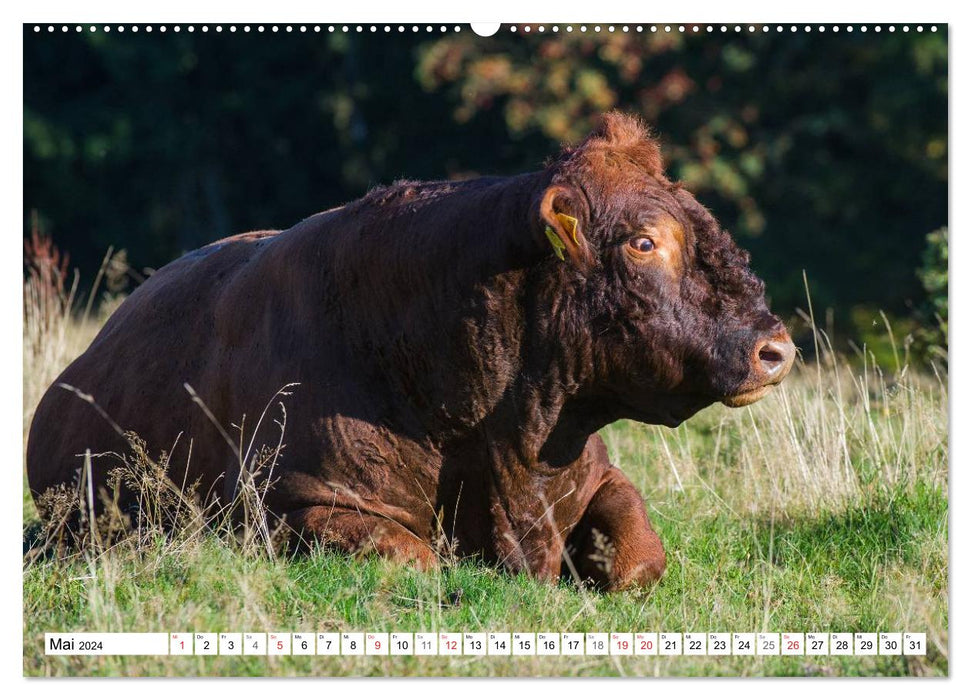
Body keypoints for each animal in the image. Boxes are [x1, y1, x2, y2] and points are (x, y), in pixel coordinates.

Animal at [26, 113, 792, 592]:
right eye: (643, 241)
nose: (774, 348)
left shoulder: (598, 477)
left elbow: (638, 560)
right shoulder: (297, 506)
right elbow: (415, 562)